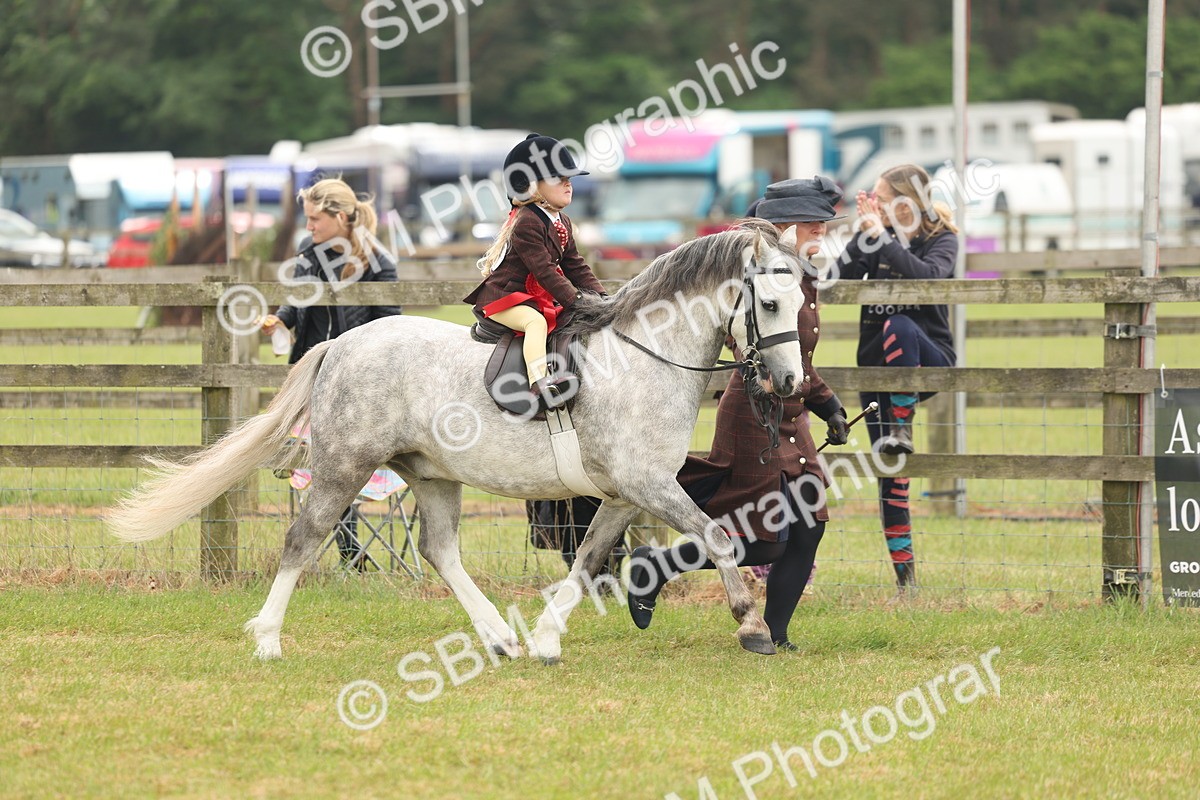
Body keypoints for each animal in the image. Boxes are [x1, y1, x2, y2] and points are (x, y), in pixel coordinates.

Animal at [108, 220, 811, 663]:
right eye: (772, 304)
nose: (791, 382)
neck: (646, 357)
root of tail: (340, 345)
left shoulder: (622, 494)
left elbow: (586, 561)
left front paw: (547, 639)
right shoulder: (648, 485)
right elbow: (718, 537)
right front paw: (752, 626)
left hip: (431, 473)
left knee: (440, 550)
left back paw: (500, 637)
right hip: (343, 467)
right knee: (304, 539)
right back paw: (269, 640)